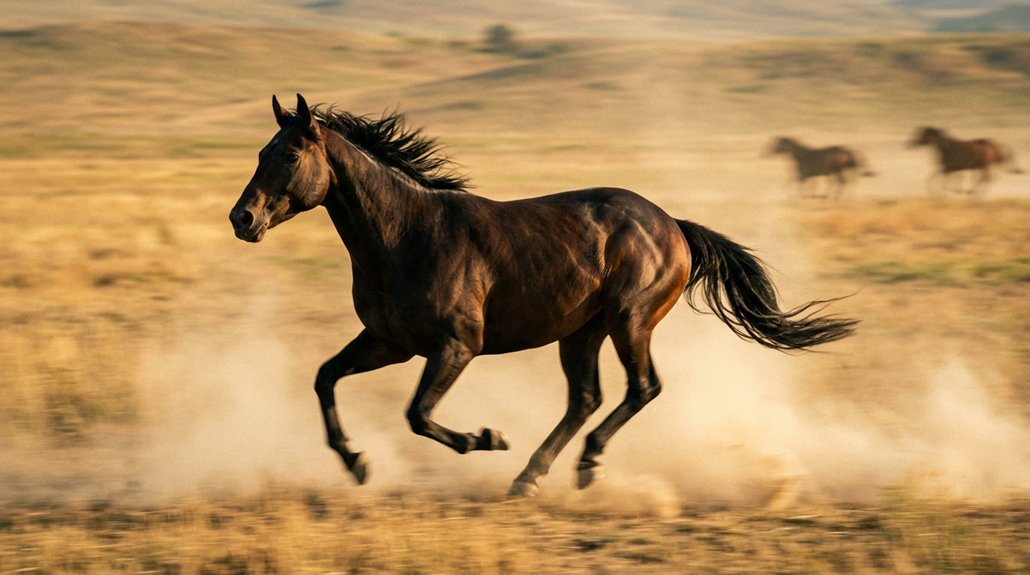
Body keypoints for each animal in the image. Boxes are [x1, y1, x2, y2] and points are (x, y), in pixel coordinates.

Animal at [230, 94, 858, 498]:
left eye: (289, 155)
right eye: (260, 152)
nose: (243, 219)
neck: (405, 234)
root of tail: (674, 226)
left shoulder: (456, 345)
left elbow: (417, 414)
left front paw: (486, 437)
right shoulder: (390, 342)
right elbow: (325, 378)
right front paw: (356, 464)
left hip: (629, 322)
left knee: (641, 388)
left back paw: (583, 466)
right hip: (581, 333)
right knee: (586, 398)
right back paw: (529, 477)